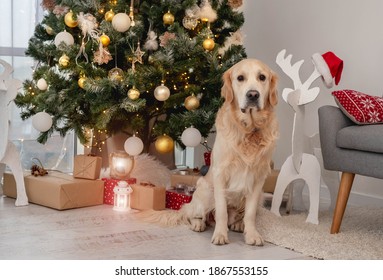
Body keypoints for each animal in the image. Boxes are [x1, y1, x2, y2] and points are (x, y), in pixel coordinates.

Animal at [138, 58, 280, 245]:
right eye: (240, 78)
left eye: (262, 77)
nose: (253, 95)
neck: (248, 131)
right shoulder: (221, 174)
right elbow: (221, 211)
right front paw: (220, 235)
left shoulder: (258, 178)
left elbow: (249, 214)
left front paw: (252, 235)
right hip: (205, 190)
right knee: (195, 214)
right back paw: (198, 224)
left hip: (260, 197)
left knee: (236, 215)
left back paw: (238, 224)